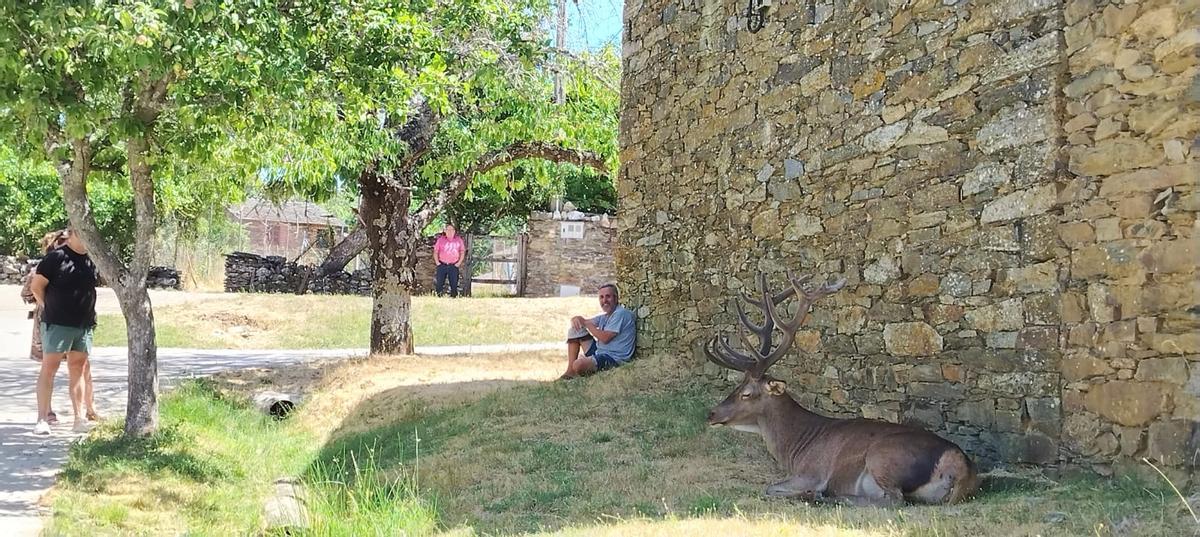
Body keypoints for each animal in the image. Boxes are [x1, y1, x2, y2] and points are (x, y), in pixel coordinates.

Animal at [705, 271, 979, 506]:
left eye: (746, 393)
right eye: (737, 385)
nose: (712, 414)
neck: (795, 449)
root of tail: (961, 467)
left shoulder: (812, 472)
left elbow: (769, 488)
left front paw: (811, 492)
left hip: (883, 456)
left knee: (894, 499)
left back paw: (822, 496)